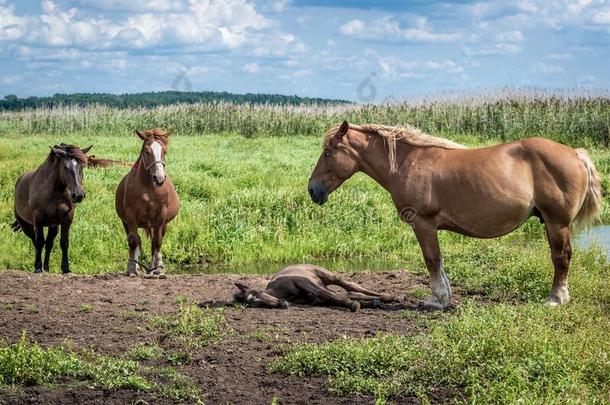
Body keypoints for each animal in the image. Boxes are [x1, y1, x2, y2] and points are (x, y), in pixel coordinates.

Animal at [12, 144, 91, 274]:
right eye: (65, 167)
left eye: (82, 166)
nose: (78, 195)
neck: (56, 191)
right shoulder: (38, 217)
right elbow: (39, 242)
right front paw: (38, 267)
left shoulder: (67, 218)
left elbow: (64, 242)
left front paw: (66, 268)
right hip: (26, 225)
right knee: (35, 241)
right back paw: (40, 266)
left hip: (53, 226)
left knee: (49, 243)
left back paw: (47, 267)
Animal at [114, 128, 178, 276]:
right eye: (147, 151)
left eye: (164, 151)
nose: (159, 178)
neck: (149, 187)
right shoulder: (131, 216)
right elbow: (134, 241)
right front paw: (132, 268)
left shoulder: (161, 217)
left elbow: (157, 243)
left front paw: (158, 268)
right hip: (127, 223)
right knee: (136, 241)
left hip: (162, 225)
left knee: (155, 243)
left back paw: (152, 267)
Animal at [233, 264, 400, 310]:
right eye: (255, 304)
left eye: (258, 293)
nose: (282, 303)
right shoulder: (316, 299)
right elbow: (336, 298)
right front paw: (357, 304)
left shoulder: (306, 284)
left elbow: (333, 296)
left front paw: (353, 305)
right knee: (353, 293)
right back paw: (377, 302)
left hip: (329, 277)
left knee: (351, 286)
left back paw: (392, 297)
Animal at [306, 121, 600, 308]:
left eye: (328, 151)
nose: (312, 190)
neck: (406, 162)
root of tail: (575, 153)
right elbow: (438, 262)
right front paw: (445, 296)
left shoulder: (423, 224)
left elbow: (432, 260)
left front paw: (436, 300)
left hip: (556, 223)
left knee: (561, 258)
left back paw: (555, 299)